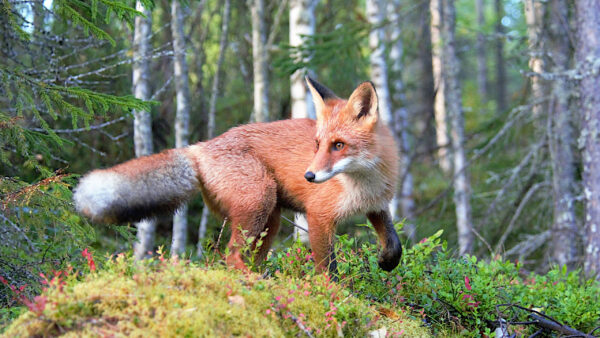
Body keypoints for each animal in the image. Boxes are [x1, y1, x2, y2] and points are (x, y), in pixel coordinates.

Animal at [76, 78, 404, 274]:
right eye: (317, 144)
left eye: (338, 145)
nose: (309, 175)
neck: (363, 185)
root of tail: (200, 147)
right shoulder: (319, 216)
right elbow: (328, 269)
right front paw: (335, 295)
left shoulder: (377, 205)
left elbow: (394, 242)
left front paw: (387, 262)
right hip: (260, 199)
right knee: (231, 256)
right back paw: (257, 284)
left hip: (269, 219)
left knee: (245, 257)